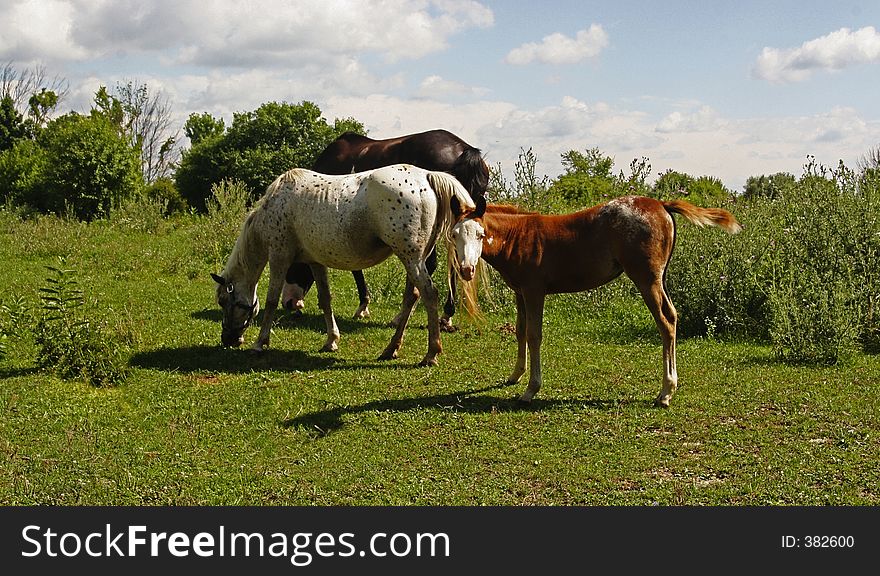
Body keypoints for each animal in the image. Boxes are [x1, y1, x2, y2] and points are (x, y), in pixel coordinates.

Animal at [214, 164, 482, 366]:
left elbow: (270, 301)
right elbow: (325, 300)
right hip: (415, 259)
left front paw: (260, 343)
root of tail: (426, 176)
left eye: (224, 301)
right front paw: (331, 340)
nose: (228, 340)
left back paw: (431, 353)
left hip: (411, 258)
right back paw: (391, 349)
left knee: (429, 294)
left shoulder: (279, 257)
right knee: (411, 297)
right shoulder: (315, 261)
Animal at [282, 128, 488, 330]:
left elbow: (355, 267)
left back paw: (404, 316)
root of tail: (463, 150)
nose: (289, 303)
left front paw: (363, 307)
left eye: (293, 264)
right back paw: (445, 316)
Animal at [446, 196, 744, 408]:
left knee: (666, 321)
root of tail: (660, 204)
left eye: (480, 235)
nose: (466, 270)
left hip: (646, 279)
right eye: (454, 235)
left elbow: (534, 335)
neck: (519, 236)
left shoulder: (534, 291)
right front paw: (515, 376)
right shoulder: (520, 292)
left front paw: (530, 389)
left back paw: (665, 392)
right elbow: (520, 332)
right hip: (661, 278)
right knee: (672, 315)